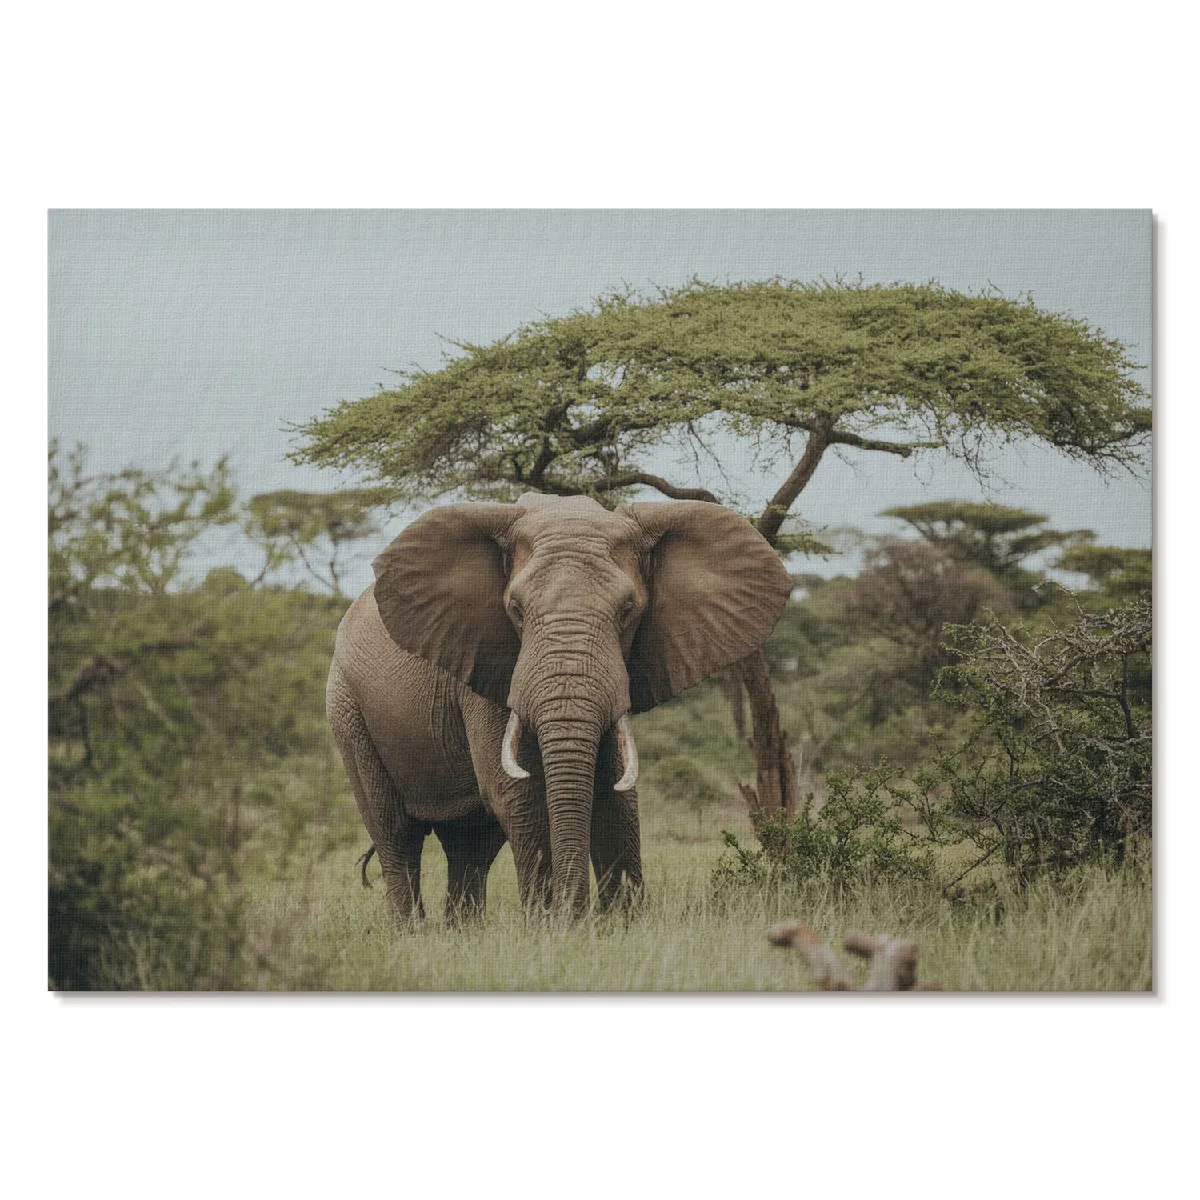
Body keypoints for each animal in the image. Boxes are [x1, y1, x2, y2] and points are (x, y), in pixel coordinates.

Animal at [325, 492, 792, 922]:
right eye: (515, 609)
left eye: (628, 611)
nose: (576, 912)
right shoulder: (488, 663)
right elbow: (520, 792)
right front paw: (553, 927)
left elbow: (615, 791)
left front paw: (617, 926)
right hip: (347, 710)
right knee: (396, 832)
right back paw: (413, 932)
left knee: (470, 844)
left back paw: (463, 932)